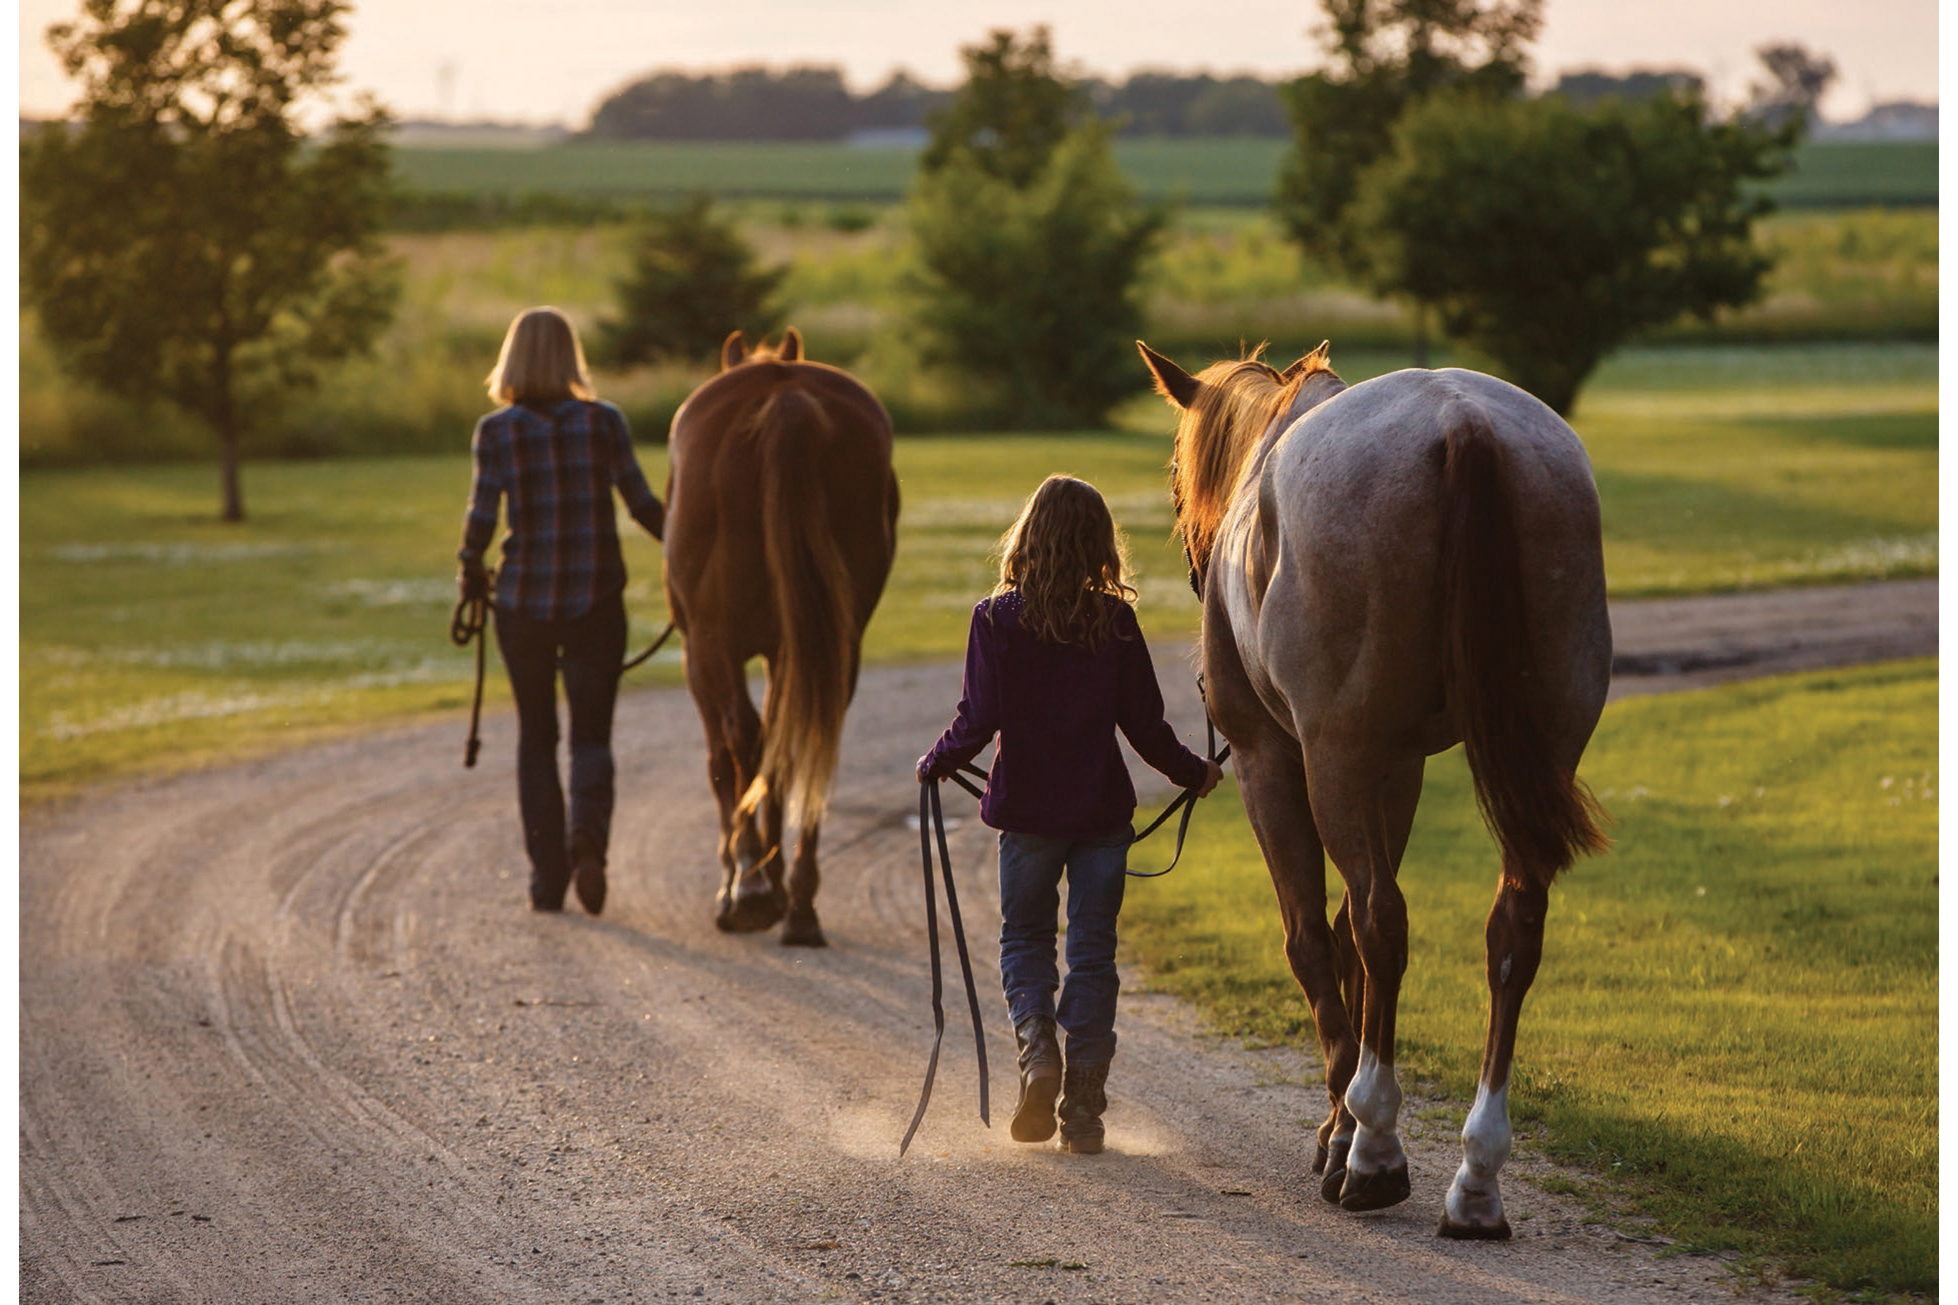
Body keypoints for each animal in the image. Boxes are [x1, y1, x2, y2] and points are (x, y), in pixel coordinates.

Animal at [661, 331, 896, 940]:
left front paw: (742, 873)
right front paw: (775, 875)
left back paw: (750, 885)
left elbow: (727, 759)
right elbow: (779, 750)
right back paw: (801, 904)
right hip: (836, 644)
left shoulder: (702, 656)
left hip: (713, 642)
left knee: (741, 735)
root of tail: (785, 398)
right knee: (811, 740)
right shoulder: (788, 650)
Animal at [1143, 340, 1613, 1238]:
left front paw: (1341, 1127)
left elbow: (1314, 937)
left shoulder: (1274, 759)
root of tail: (1463, 425)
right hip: (1541, 748)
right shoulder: (1396, 767)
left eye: (1179, 483)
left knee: (1379, 922)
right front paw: (1344, 1118)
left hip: (1332, 755)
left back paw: (1374, 1152)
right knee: (1512, 930)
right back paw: (1477, 1174)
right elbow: (1346, 939)